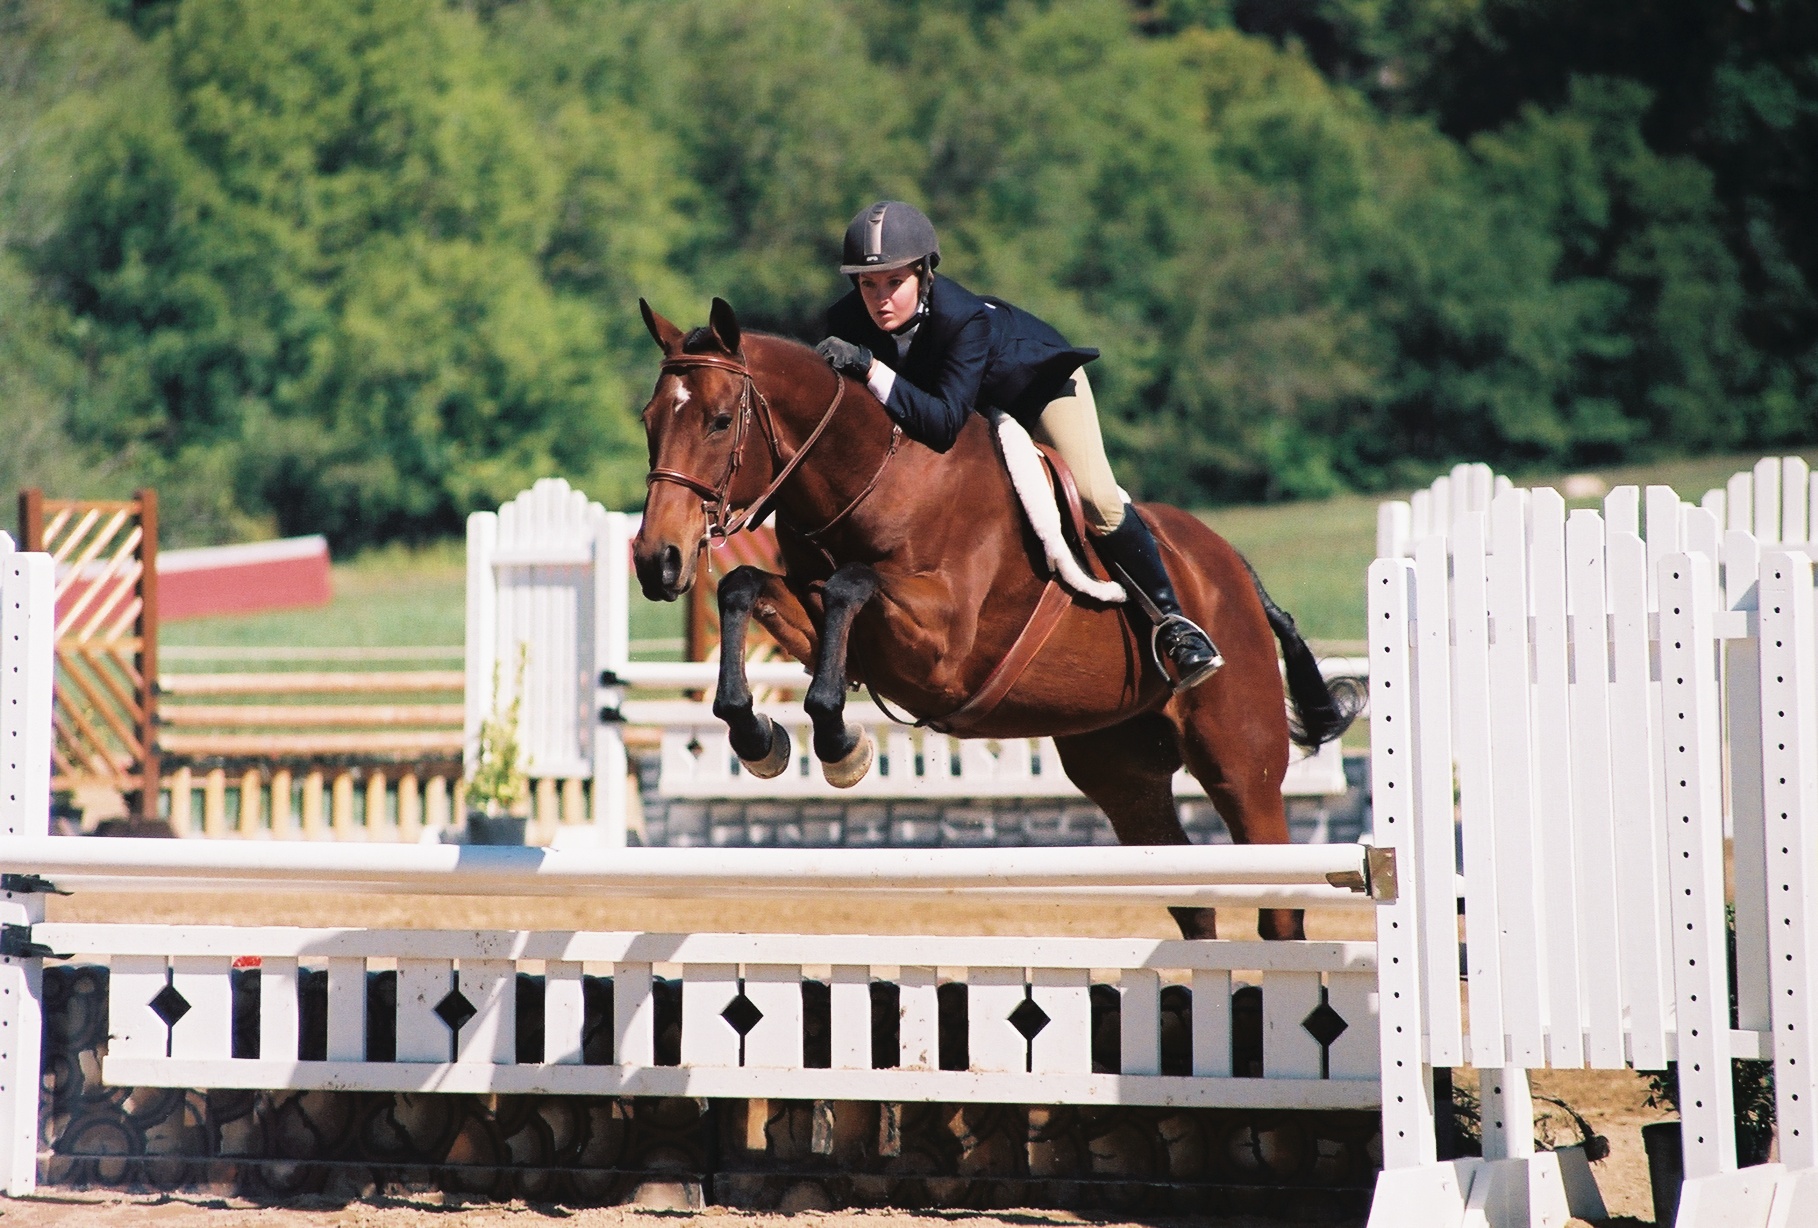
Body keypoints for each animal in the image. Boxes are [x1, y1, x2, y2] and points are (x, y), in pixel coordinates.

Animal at [632, 300, 1359, 938]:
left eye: (719, 421)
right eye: (648, 419)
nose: (656, 560)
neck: (873, 477)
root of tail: (1235, 571)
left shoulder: (942, 650)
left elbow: (849, 584)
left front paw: (840, 746)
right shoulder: (830, 624)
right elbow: (744, 587)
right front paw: (758, 736)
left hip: (1240, 764)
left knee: (1277, 900)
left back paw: (1188, 643)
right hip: (1122, 772)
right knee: (1191, 900)